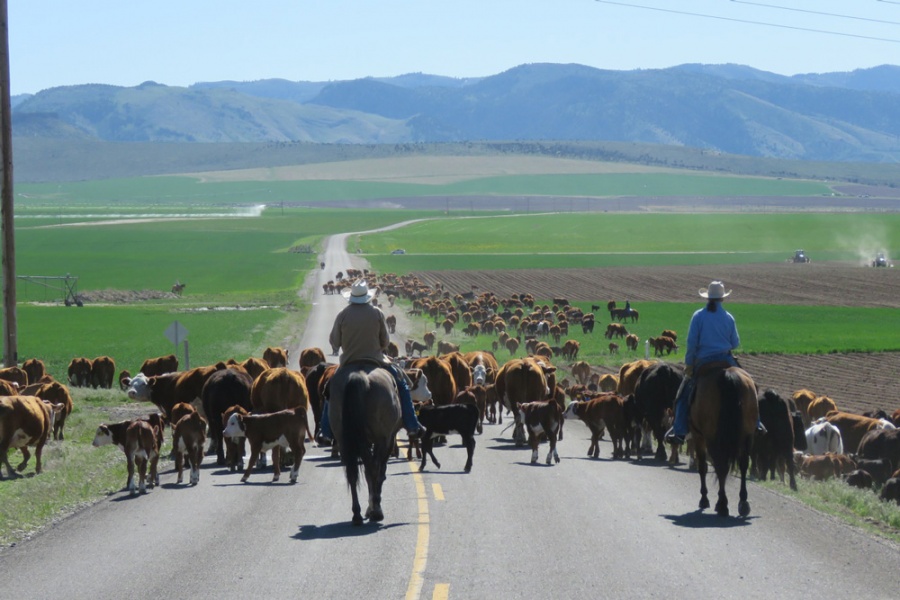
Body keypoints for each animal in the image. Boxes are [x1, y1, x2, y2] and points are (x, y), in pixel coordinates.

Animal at [326, 360, 400, 524]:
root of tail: (359, 376)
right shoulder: (388, 440)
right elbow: (379, 472)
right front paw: (373, 507)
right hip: (381, 439)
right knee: (375, 469)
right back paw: (376, 511)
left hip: (345, 441)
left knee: (352, 473)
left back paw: (357, 514)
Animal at [692, 364, 756, 516]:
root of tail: (728, 375)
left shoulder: (698, 436)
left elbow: (702, 467)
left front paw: (704, 498)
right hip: (747, 435)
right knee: (743, 464)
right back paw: (743, 502)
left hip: (711, 438)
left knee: (721, 467)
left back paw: (722, 504)